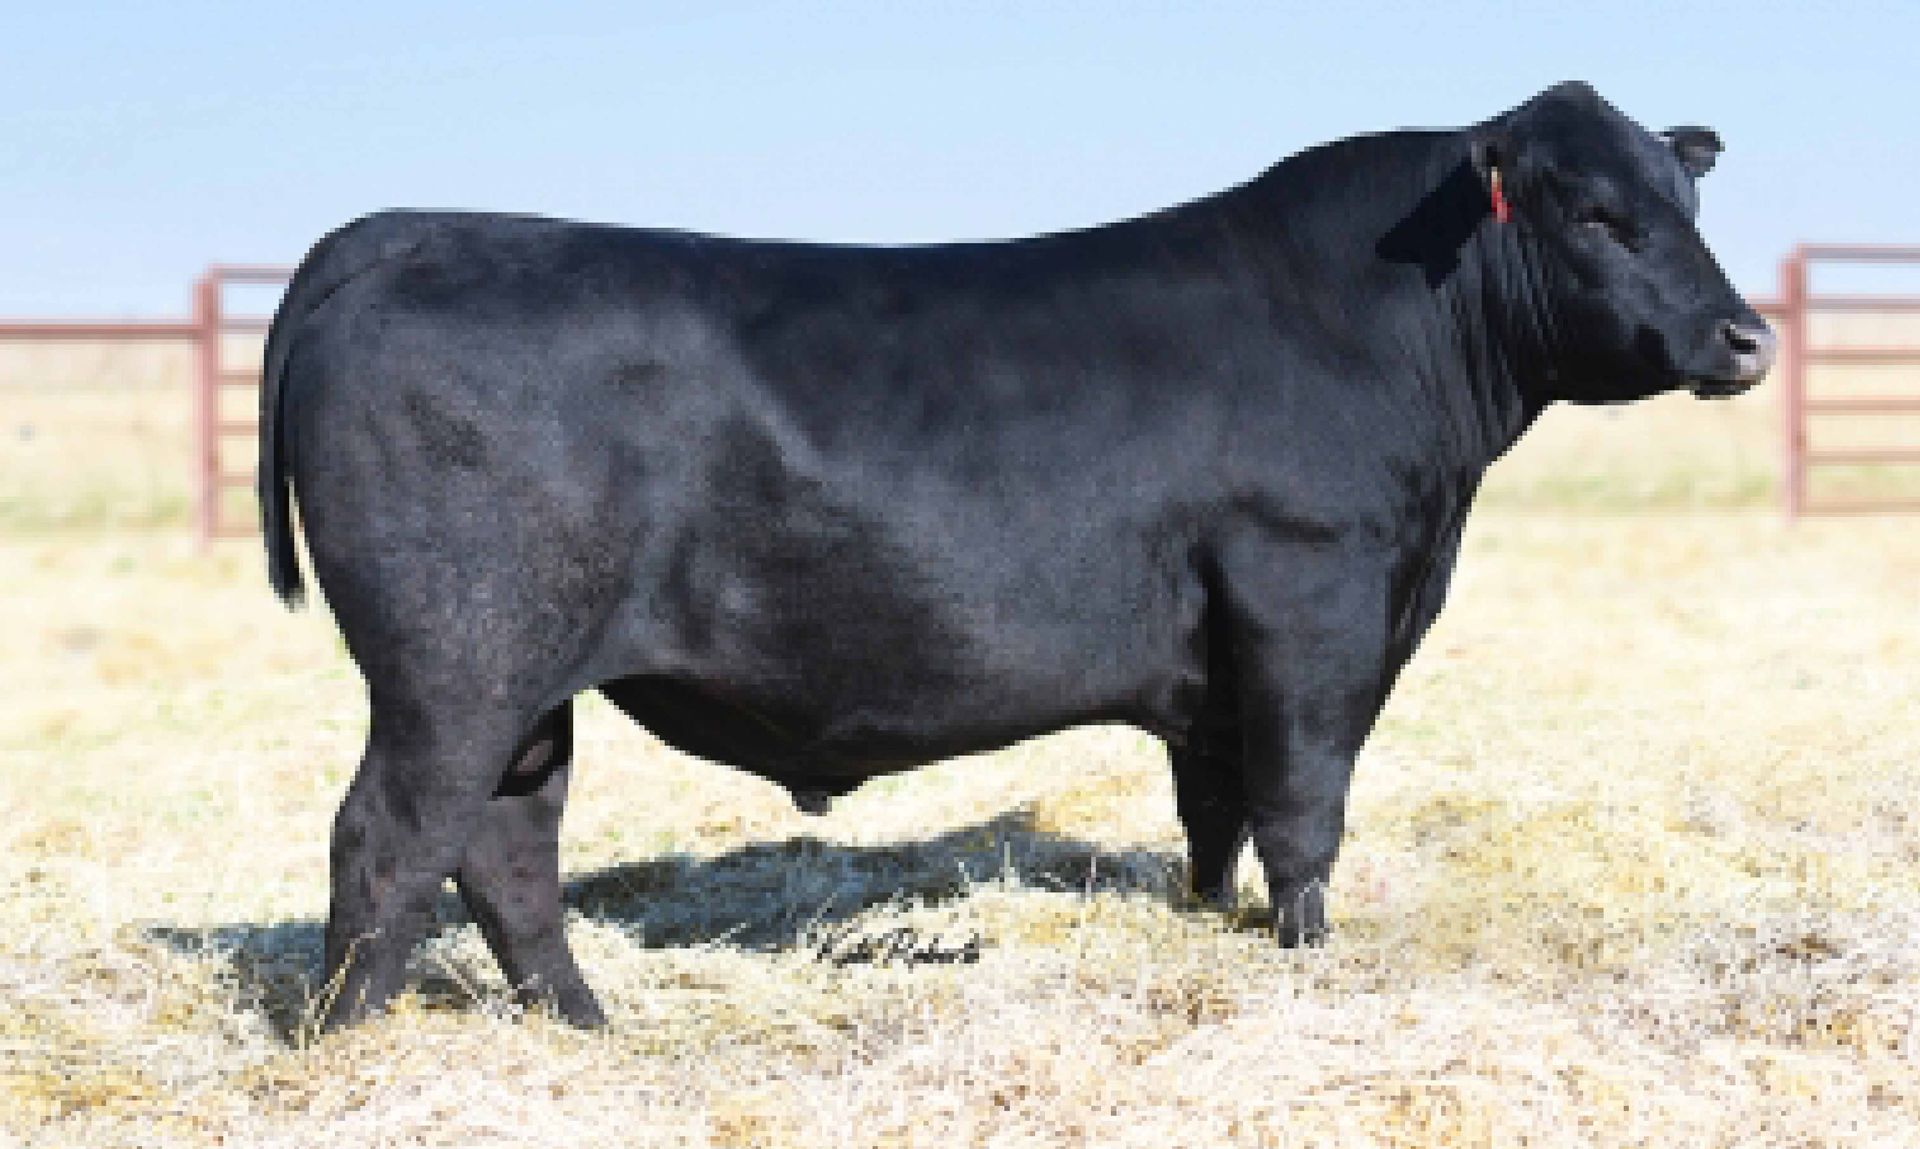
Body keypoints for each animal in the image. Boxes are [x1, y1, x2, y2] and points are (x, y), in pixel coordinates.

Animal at [258, 81, 1774, 1031]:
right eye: (1595, 214)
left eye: (1685, 203)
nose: (1745, 336)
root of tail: (403, 231)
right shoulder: (1316, 604)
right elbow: (1303, 810)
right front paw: (1309, 957)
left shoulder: (1218, 657)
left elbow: (1213, 811)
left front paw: (1208, 922)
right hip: (456, 663)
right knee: (389, 838)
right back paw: (347, 1046)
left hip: (524, 687)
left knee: (505, 849)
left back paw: (585, 1024)